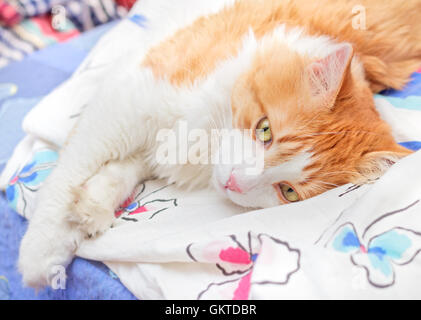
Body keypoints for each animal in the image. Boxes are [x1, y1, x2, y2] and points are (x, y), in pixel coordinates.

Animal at [18, 0, 420, 288]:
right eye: (264, 130)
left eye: (288, 192)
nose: (234, 183)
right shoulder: (127, 107)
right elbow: (67, 177)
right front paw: (42, 255)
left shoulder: (157, 139)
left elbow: (120, 172)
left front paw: (91, 206)